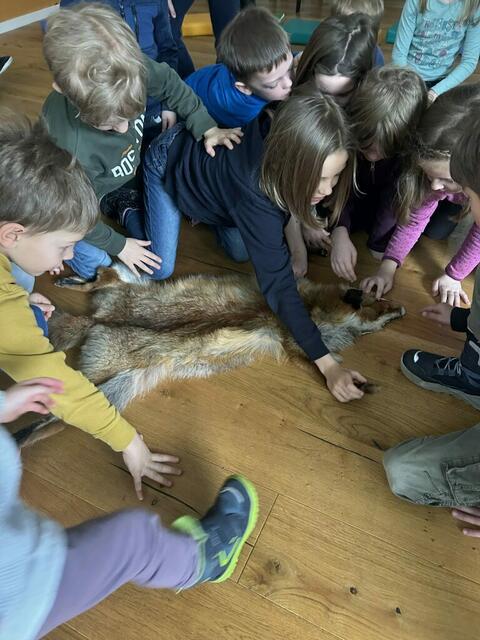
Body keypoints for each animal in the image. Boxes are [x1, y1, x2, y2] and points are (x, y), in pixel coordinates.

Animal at [15, 265, 405, 446]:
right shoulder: (301, 329)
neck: (314, 311)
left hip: (115, 386)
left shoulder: (294, 336)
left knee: (102, 276)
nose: (401, 308)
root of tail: (97, 321)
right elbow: (324, 354)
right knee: (105, 274)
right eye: (384, 302)